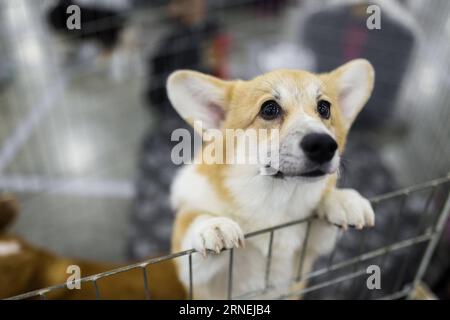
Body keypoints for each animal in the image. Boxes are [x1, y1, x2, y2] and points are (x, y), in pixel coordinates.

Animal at [167, 58, 374, 298]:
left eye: (324, 108)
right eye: (269, 109)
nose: (324, 145)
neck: (276, 202)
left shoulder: (308, 253)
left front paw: (343, 200)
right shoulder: (194, 276)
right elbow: (192, 223)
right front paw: (213, 226)